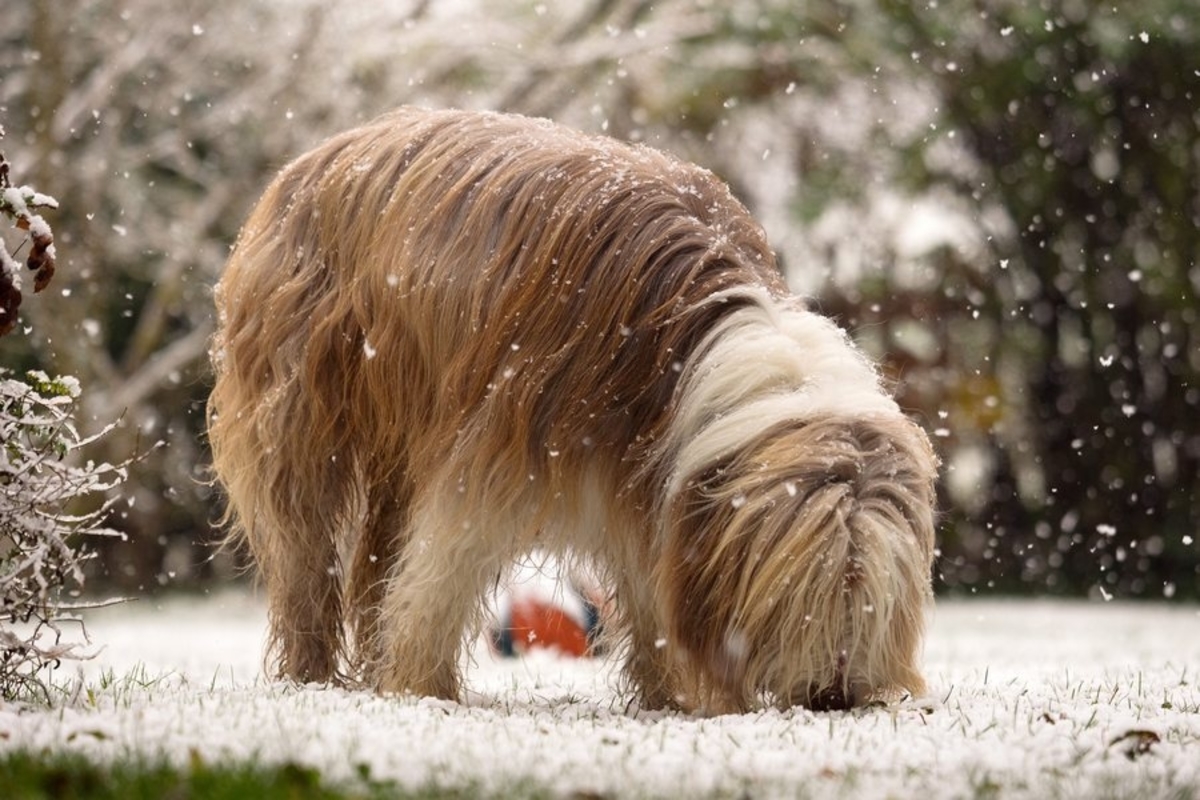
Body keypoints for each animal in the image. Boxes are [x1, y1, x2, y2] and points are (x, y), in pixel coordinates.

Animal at [208, 107, 936, 714]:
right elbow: (444, 565)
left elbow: (649, 586)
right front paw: (422, 688)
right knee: (305, 547)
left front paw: (671, 696)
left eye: (870, 596)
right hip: (299, 409)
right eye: (804, 590)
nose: (833, 696)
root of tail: (317, 156)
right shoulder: (499, 447)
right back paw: (313, 672)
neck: (687, 341)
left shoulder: (646, 483)